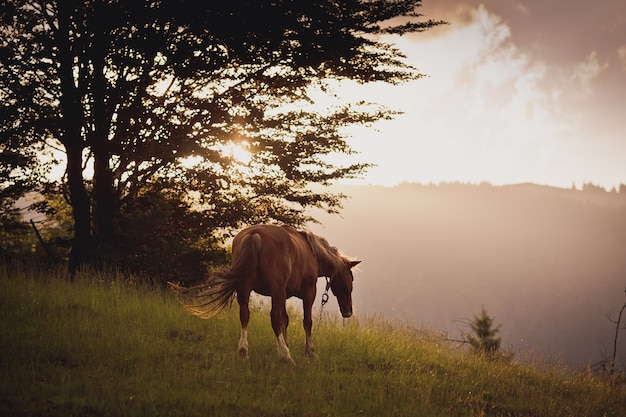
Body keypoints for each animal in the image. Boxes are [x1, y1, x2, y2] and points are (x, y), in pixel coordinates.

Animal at [168, 223, 358, 362]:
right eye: (351, 278)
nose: (348, 311)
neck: (311, 252)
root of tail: (255, 235)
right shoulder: (307, 292)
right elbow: (306, 321)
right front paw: (309, 351)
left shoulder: (283, 295)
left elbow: (285, 320)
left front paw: (285, 345)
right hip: (275, 289)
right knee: (273, 318)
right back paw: (286, 357)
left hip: (245, 288)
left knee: (245, 315)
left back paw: (244, 351)